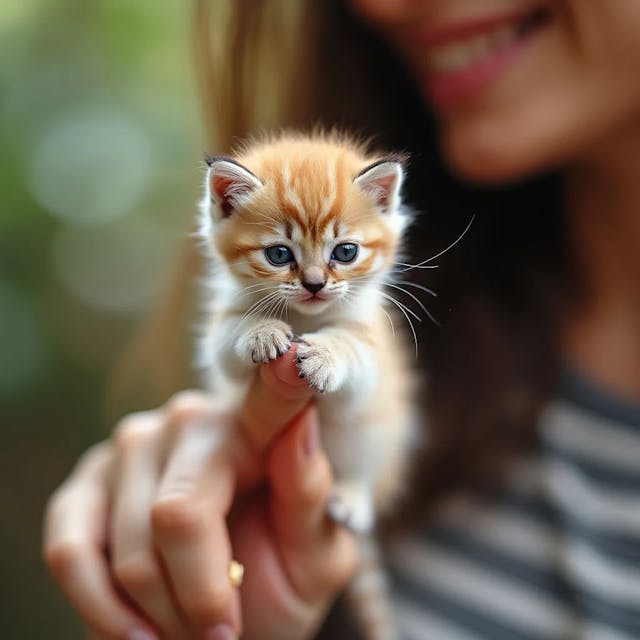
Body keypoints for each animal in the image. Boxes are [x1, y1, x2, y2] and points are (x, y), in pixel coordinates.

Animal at [198, 132, 422, 636]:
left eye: (345, 252)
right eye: (279, 254)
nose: (316, 284)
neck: (305, 316)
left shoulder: (372, 350)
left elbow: (350, 349)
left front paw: (324, 356)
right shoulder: (220, 335)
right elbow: (231, 339)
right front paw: (261, 332)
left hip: (377, 431)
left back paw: (353, 498)